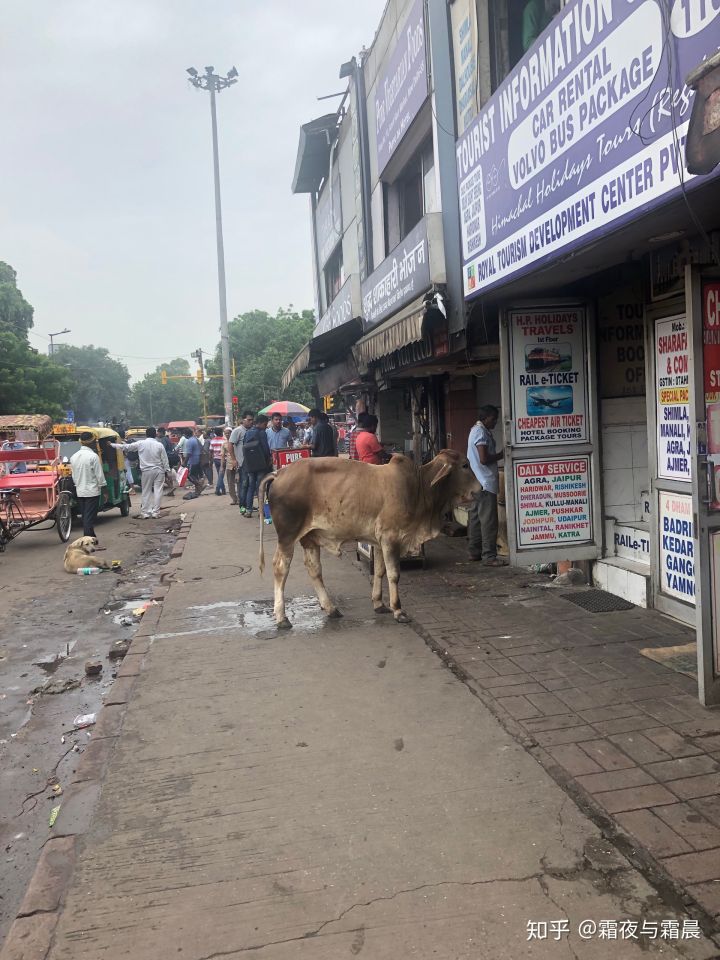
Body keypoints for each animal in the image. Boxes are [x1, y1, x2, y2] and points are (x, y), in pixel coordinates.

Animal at [256, 450, 480, 632]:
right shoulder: (391, 537)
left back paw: (331, 608)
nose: (479, 489)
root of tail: (279, 473)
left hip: (309, 537)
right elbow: (394, 574)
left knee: (314, 569)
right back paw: (282, 618)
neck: (419, 487)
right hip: (288, 536)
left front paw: (379, 604)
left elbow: (379, 571)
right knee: (280, 568)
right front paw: (398, 610)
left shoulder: (379, 542)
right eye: (465, 465)